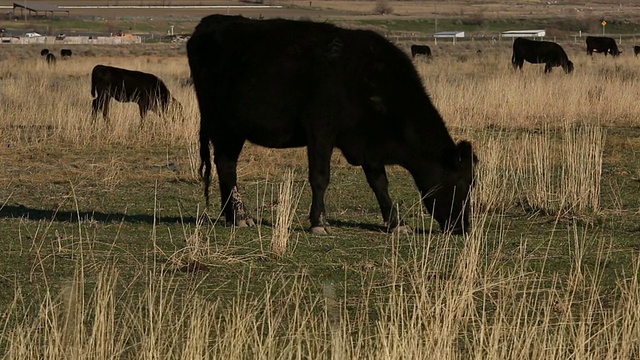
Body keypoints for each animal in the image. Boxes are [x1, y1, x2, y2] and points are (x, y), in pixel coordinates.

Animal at [185, 14, 476, 235]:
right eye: (463, 185)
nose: (463, 227)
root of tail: (210, 22)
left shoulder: (369, 145)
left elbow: (379, 183)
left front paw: (396, 223)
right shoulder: (320, 131)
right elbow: (320, 176)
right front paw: (319, 223)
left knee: (225, 165)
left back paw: (232, 216)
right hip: (224, 125)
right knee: (226, 166)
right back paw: (240, 215)